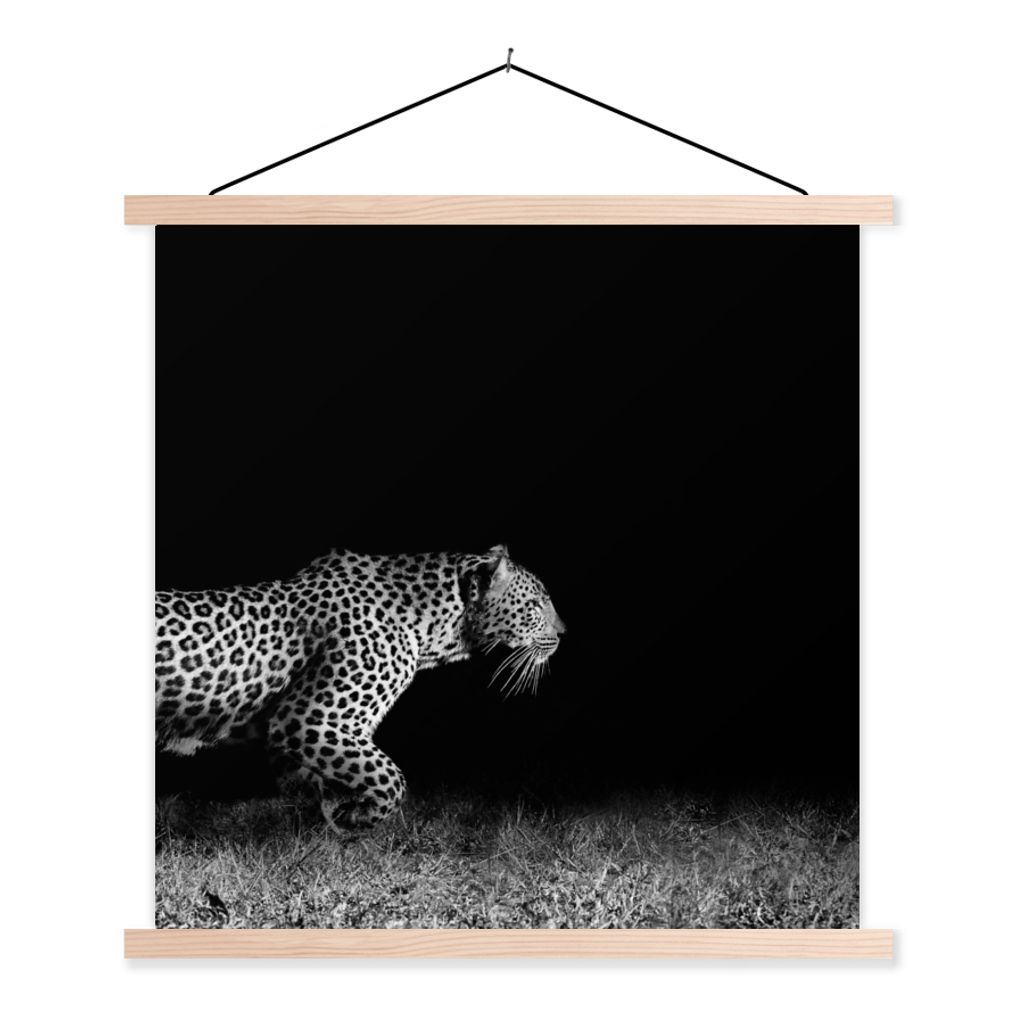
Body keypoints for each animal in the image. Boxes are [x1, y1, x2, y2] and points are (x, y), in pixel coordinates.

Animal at [155, 545, 565, 828]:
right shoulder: (309, 720)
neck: (435, 625)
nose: (563, 633)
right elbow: (391, 777)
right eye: (536, 604)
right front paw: (358, 817)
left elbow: (319, 783)